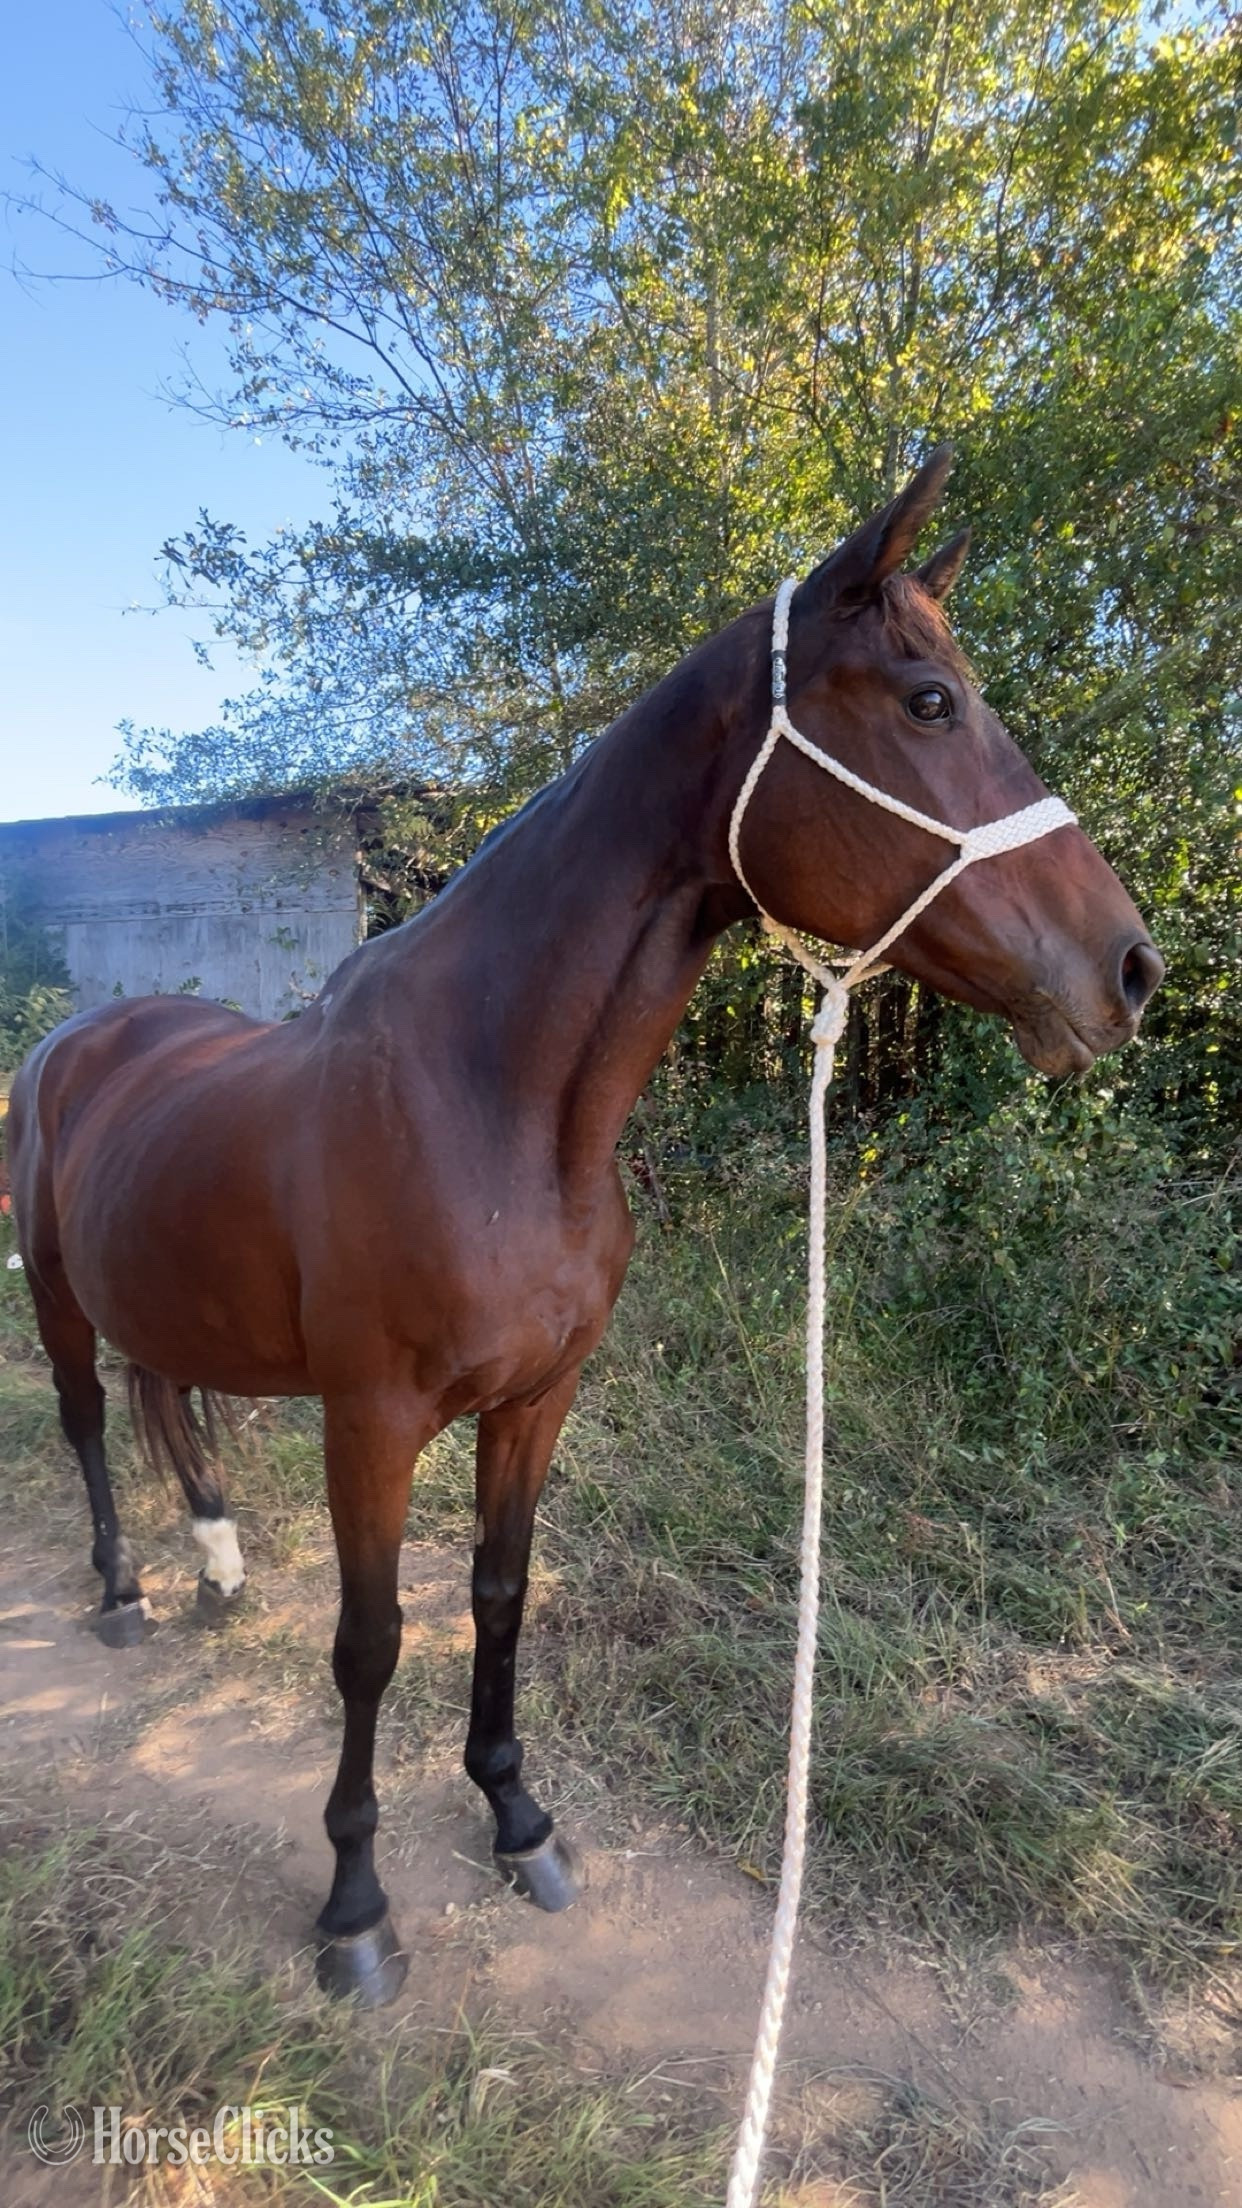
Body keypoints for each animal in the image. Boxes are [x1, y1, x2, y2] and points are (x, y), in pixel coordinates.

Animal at [8, 449, 1163, 2004]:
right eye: (930, 701)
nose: (1130, 969)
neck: (496, 1111)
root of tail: (82, 1039)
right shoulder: (370, 1420)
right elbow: (371, 1643)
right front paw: (355, 1909)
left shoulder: (538, 1398)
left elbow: (500, 1594)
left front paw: (518, 1817)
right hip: (59, 1297)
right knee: (85, 1417)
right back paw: (127, 1590)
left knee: (164, 1398)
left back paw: (217, 1568)